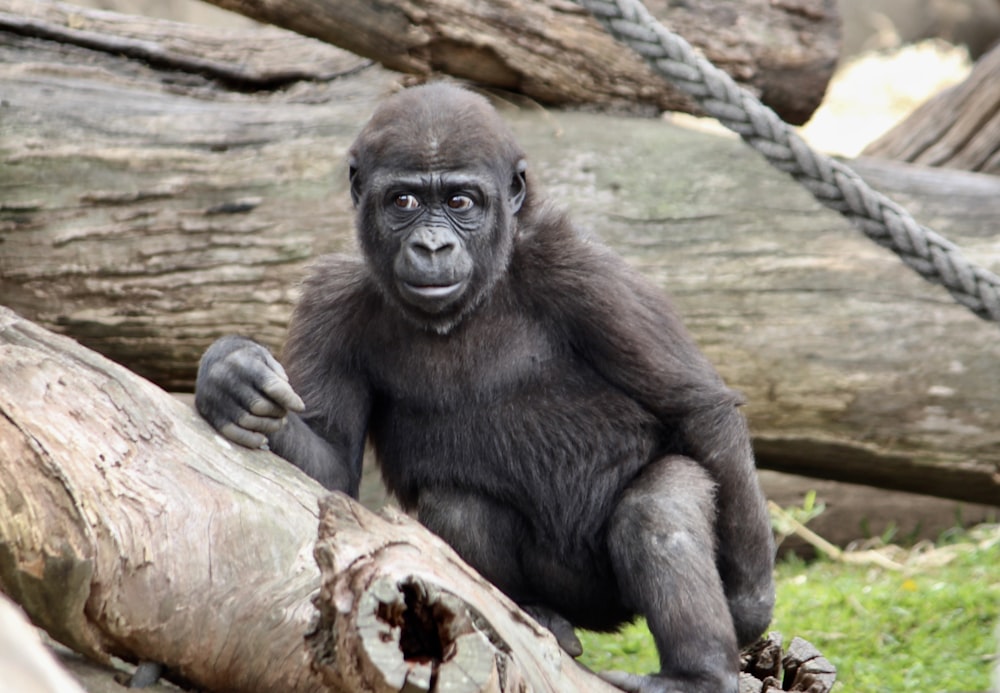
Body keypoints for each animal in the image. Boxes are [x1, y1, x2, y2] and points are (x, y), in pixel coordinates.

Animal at [193, 82, 772, 692]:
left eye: (460, 202)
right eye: (403, 202)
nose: (431, 248)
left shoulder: (587, 273)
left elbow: (696, 408)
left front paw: (749, 603)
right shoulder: (329, 299)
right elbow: (332, 468)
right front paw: (229, 378)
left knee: (660, 508)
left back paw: (696, 673)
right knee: (459, 508)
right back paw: (537, 616)